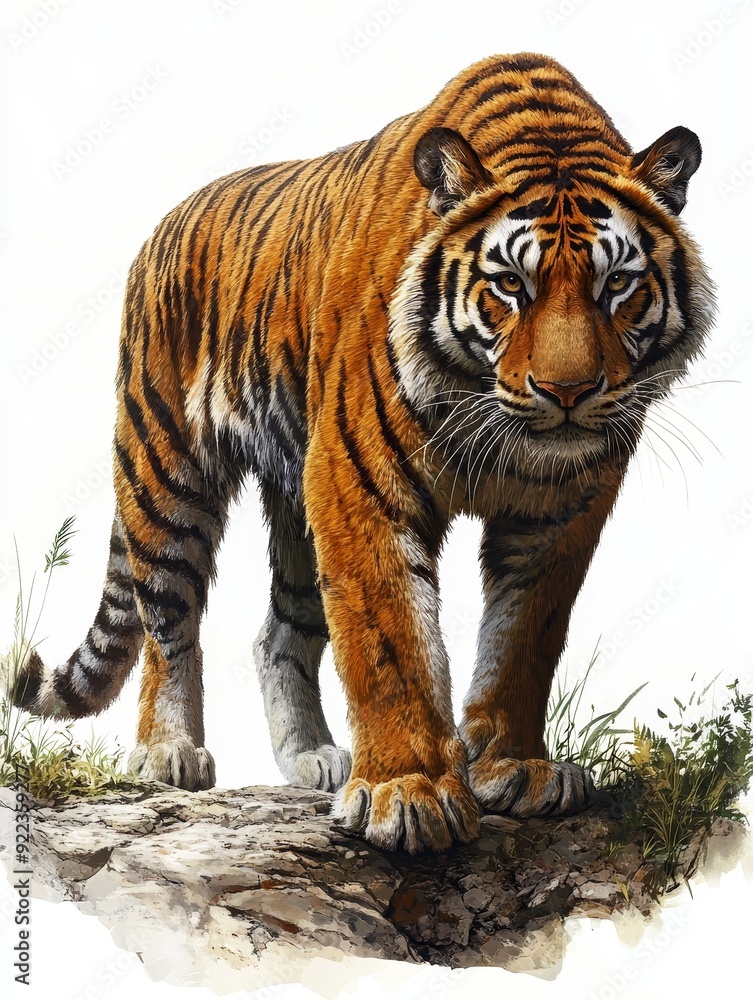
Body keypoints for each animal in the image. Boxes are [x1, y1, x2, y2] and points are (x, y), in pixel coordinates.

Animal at [3, 52, 715, 854]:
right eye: (509, 284)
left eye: (617, 283)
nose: (567, 392)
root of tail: (166, 223)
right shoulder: (359, 479)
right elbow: (390, 639)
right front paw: (407, 793)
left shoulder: (563, 509)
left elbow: (525, 639)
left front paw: (516, 771)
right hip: (168, 474)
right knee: (168, 621)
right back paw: (168, 752)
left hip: (296, 504)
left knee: (276, 633)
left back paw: (311, 757)